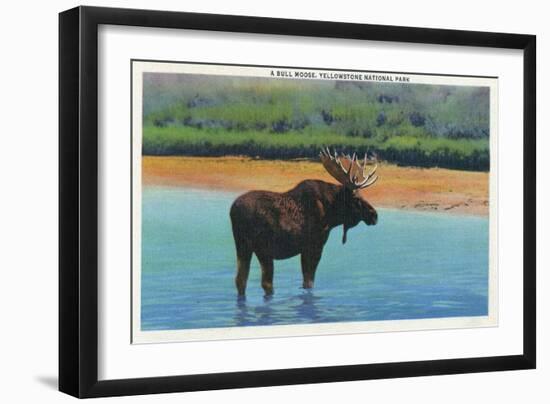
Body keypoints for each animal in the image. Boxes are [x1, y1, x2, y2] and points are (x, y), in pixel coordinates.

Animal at [230, 149, 380, 296]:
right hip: (262, 248)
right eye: (356, 198)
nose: (375, 215)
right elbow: (309, 281)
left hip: (243, 245)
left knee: (241, 280)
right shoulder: (314, 245)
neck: (331, 214)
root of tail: (233, 210)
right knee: (265, 283)